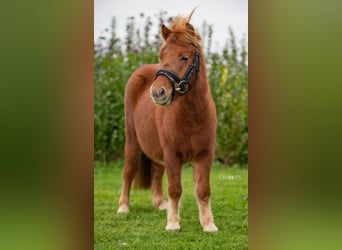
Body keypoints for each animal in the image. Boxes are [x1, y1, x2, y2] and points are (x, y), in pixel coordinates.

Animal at [117, 9, 218, 232]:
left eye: (185, 57)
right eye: (162, 56)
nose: (158, 92)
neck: (192, 116)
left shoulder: (205, 154)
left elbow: (203, 189)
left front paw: (208, 224)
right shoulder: (172, 153)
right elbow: (175, 188)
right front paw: (173, 223)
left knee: (156, 171)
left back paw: (160, 203)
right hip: (132, 142)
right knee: (128, 172)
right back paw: (123, 207)